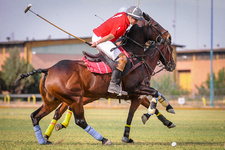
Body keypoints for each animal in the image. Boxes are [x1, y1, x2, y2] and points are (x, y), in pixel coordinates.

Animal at [16, 13, 175, 145]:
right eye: (155, 25)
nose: (169, 37)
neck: (139, 58)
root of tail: (48, 69)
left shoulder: (136, 94)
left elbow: (149, 101)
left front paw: (168, 118)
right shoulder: (135, 89)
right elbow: (152, 96)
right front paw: (145, 118)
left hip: (53, 100)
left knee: (36, 116)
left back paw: (44, 140)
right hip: (75, 98)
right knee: (79, 120)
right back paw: (103, 139)